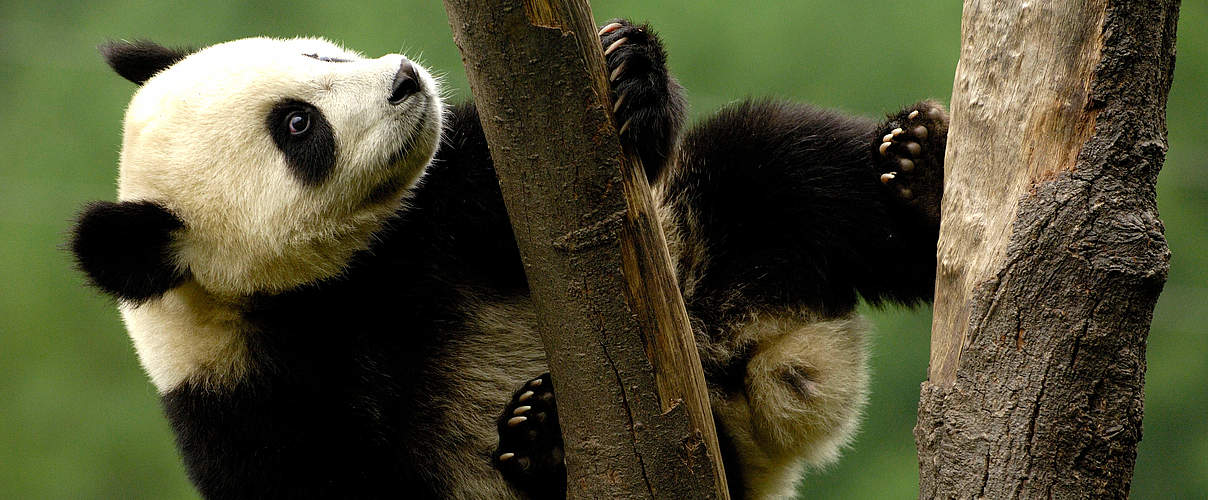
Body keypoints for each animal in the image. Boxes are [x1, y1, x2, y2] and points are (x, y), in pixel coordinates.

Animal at [70, 19, 947, 500]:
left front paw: (630, 71)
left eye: (318, 57)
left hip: (701, 245)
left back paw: (923, 179)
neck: (331, 284)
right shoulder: (253, 411)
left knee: (781, 168)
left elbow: (538, 186)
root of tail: (765, 382)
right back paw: (542, 442)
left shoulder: (440, 204)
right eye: (298, 127)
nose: (406, 81)